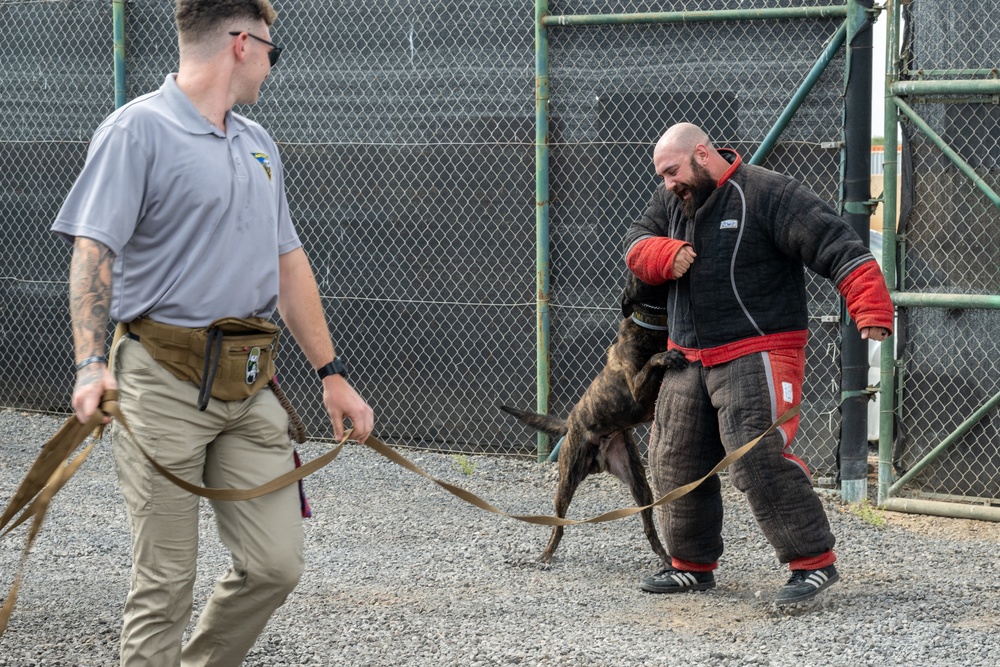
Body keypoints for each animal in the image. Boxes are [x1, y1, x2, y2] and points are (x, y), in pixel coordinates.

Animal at [500, 276, 688, 564]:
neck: (651, 321)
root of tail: (569, 423)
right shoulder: (637, 391)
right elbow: (652, 362)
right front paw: (665, 357)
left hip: (639, 482)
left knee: (649, 527)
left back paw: (666, 557)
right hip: (567, 478)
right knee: (558, 525)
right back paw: (546, 553)